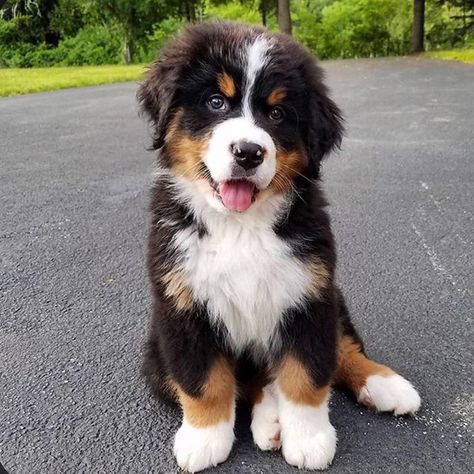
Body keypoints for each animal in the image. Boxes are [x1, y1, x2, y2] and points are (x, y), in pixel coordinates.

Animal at [138, 21, 422, 470]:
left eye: (276, 114)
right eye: (216, 102)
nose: (248, 152)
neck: (241, 226)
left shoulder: (308, 295)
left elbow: (307, 374)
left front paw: (308, 438)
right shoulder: (182, 307)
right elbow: (204, 381)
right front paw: (204, 438)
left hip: (333, 296)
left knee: (341, 349)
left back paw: (384, 384)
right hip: (154, 355)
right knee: (250, 381)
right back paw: (269, 420)